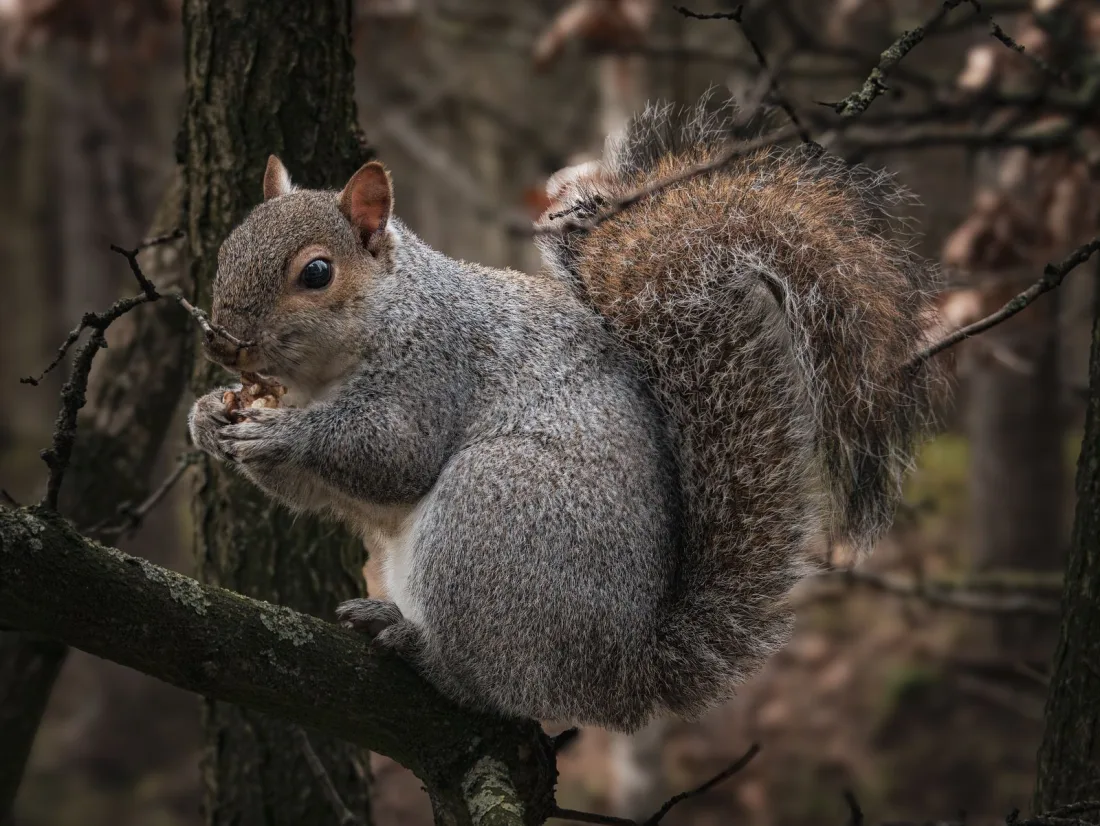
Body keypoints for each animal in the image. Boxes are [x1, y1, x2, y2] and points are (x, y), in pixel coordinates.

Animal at [188, 99, 943, 732]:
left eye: (316, 274)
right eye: (226, 248)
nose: (221, 341)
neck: (327, 373)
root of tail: (622, 677)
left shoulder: (433, 372)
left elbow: (393, 457)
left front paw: (285, 433)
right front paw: (208, 417)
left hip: (494, 513)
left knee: (499, 688)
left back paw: (422, 651)